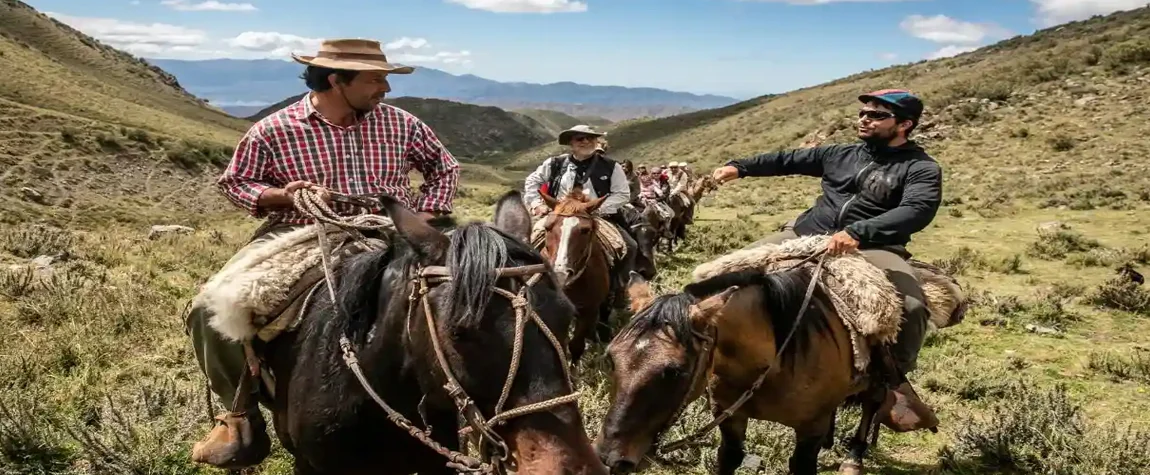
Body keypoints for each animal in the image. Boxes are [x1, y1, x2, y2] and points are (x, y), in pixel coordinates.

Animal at [593, 270, 887, 473]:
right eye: (610, 359)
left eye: (676, 371)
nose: (609, 458)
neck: (773, 363)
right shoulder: (729, 415)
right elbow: (730, 457)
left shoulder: (810, 430)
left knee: (872, 404)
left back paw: (853, 458)